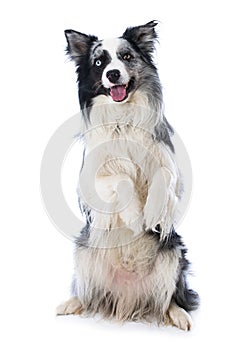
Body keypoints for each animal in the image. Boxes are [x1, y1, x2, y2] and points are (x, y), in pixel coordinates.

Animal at [57, 19, 200, 330]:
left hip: (173, 253)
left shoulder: (169, 164)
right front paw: (135, 216)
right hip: (85, 250)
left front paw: (151, 211)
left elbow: (163, 177)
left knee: (168, 298)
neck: (122, 117)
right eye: (99, 62)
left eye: (126, 57)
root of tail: (127, 297)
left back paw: (179, 315)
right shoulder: (90, 179)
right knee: (87, 294)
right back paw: (70, 304)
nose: (112, 74)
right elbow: (119, 180)